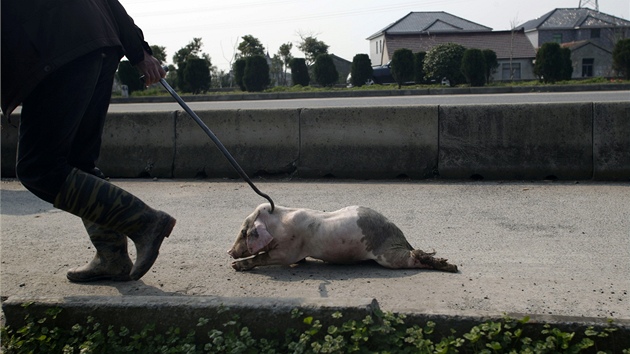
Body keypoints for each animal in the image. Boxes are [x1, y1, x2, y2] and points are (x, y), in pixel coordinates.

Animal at [228, 203, 460, 272]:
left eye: (243, 232)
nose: (229, 252)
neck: (278, 226)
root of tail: (400, 235)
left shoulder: (289, 250)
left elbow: (264, 257)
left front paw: (236, 267)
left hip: (387, 255)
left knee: (414, 256)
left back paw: (451, 266)